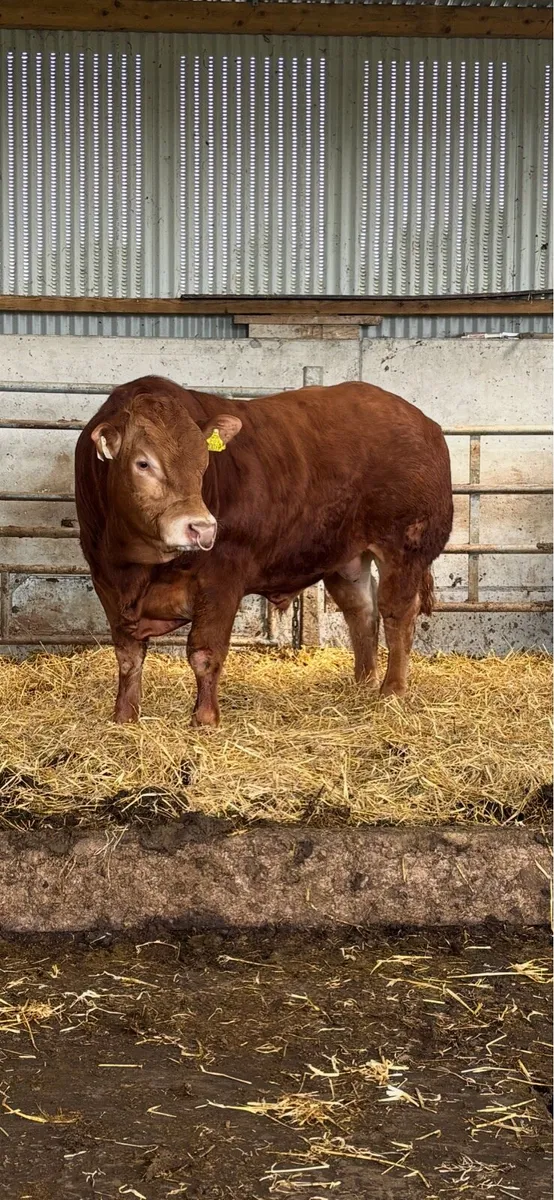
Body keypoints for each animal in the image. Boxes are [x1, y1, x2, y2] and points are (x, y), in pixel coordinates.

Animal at [75, 376, 453, 726]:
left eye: (203, 464)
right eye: (143, 463)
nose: (202, 527)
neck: (135, 567)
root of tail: (422, 421)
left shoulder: (221, 578)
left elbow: (205, 653)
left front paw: (205, 720)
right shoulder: (105, 581)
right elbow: (128, 657)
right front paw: (124, 717)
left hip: (405, 547)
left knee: (397, 613)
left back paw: (391, 691)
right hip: (346, 557)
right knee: (361, 610)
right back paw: (363, 682)